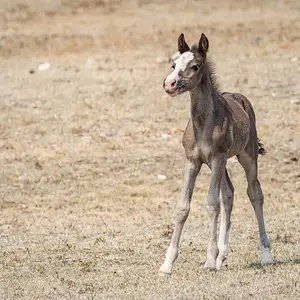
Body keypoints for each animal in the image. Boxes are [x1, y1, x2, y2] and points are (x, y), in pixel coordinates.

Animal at [159, 32, 274, 274]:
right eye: (174, 65)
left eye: (195, 66)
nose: (169, 84)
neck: (203, 124)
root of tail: (241, 98)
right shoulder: (192, 161)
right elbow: (183, 207)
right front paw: (167, 263)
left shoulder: (218, 157)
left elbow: (212, 204)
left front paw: (209, 260)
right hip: (217, 165)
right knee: (229, 194)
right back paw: (223, 255)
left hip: (245, 156)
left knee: (255, 193)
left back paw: (266, 255)